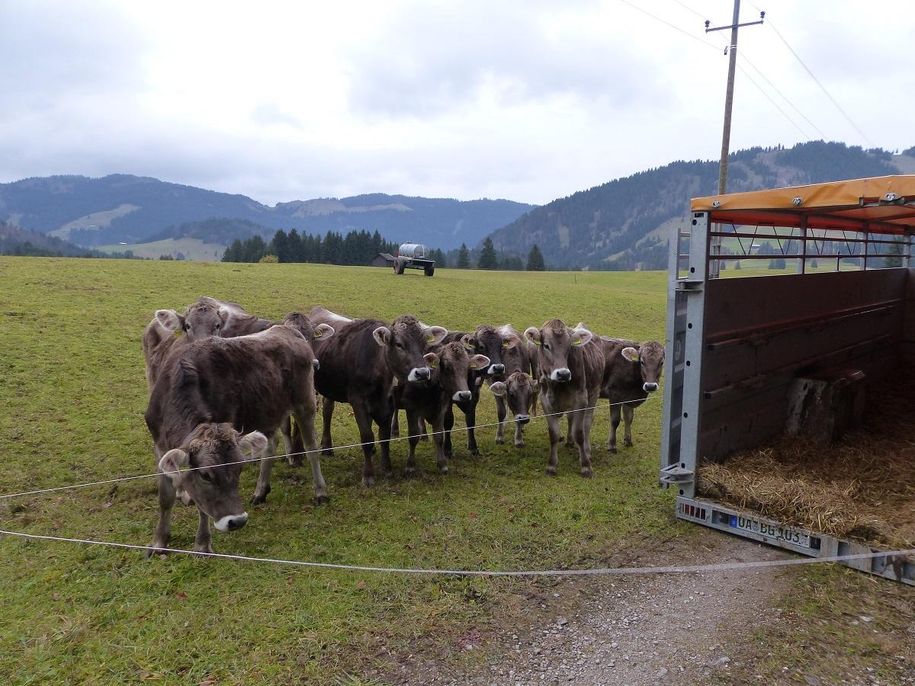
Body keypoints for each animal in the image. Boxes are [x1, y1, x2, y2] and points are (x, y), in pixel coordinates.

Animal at [145, 326, 328, 556]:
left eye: (239, 468)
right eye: (205, 475)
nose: (237, 521)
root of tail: (286, 329)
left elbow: (202, 507)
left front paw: (202, 543)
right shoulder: (159, 445)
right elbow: (165, 497)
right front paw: (159, 542)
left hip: (305, 403)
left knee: (311, 448)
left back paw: (320, 491)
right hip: (269, 412)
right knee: (270, 447)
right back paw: (260, 491)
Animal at [310, 306, 450, 490]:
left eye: (424, 344)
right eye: (399, 344)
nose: (422, 373)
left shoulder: (388, 403)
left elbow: (384, 437)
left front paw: (387, 468)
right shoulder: (358, 401)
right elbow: (367, 437)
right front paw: (368, 475)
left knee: (327, 410)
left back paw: (327, 445)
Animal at [524, 320, 604, 476]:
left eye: (569, 347)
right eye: (546, 345)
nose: (563, 374)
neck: (557, 386)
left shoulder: (581, 399)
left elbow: (579, 432)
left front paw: (586, 466)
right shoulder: (545, 401)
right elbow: (553, 434)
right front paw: (551, 466)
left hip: (594, 393)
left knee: (586, 423)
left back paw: (587, 451)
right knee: (570, 418)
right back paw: (569, 441)